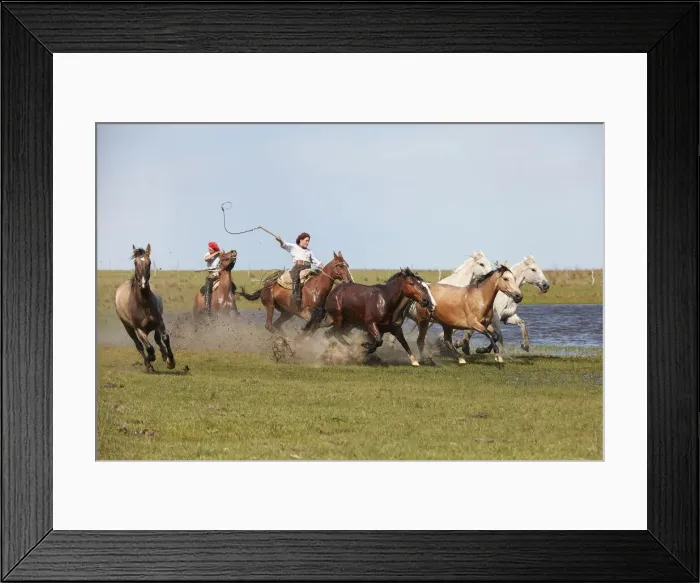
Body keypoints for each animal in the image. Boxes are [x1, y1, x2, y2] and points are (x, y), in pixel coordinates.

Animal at [115, 244, 175, 373]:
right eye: (135, 263)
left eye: (149, 262)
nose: (143, 284)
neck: (144, 305)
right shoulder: (139, 329)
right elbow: (149, 348)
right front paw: (149, 362)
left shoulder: (159, 322)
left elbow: (165, 338)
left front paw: (170, 361)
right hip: (128, 328)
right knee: (139, 346)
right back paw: (149, 365)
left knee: (157, 339)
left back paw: (163, 355)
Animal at [303, 268, 437, 366]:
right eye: (411, 283)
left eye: (423, 286)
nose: (427, 302)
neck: (386, 301)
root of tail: (333, 292)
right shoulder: (370, 324)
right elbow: (378, 341)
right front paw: (364, 347)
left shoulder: (395, 329)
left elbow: (403, 343)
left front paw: (415, 361)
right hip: (339, 318)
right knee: (335, 332)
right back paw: (349, 348)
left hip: (338, 321)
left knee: (324, 330)